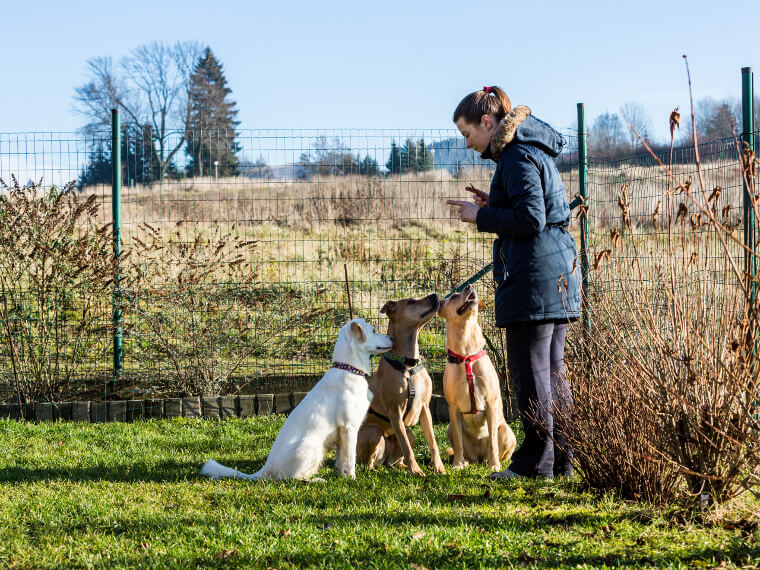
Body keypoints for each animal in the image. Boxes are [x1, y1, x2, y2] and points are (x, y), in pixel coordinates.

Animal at [200, 318, 392, 478]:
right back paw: (317, 480)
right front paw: (352, 479)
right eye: (374, 330)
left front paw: (342, 477)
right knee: (292, 478)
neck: (349, 369)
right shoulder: (349, 428)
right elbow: (350, 460)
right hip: (312, 445)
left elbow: (341, 461)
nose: (391, 336)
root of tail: (267, 468)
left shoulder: (340, 434)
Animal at [356, 292, 446, 474]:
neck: (408, 364)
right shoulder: (395, 412)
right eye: (411, 302)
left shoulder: (425, 408)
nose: (434, 295)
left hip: (410, 433)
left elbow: (432, 441)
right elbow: (406, 447)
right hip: (374, 433)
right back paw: (374, 470)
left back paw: (402, 466)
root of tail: (383, 461)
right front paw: (417, 471)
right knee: (368, 463)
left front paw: (438, 467)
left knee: (396, 458)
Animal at [440, 282, 516, 468]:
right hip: (450, 428)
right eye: (454, 296)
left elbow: (493, 443)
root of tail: (479, 458)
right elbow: (458, 442)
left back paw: (494, 461)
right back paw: (465, 461)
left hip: (506, 430)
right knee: (460, 446)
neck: (466, 352)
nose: (470, 285)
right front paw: (457, 465)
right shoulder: (453, 407)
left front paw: (494, 465)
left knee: (499, 449)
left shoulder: (490, 403)